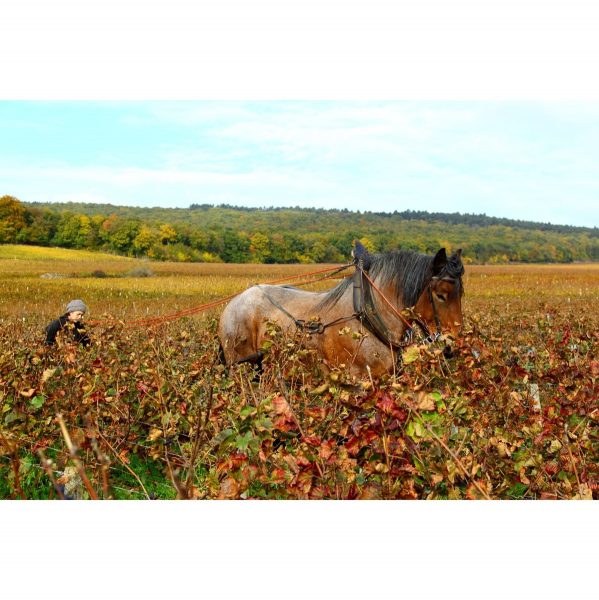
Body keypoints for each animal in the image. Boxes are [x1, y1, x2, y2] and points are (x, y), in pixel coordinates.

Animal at [218, 240, 466, 378]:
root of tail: (233, 303)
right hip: (240, 364)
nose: (453, 345)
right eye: (441, 295)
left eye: (461, 294)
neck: (370, 317)